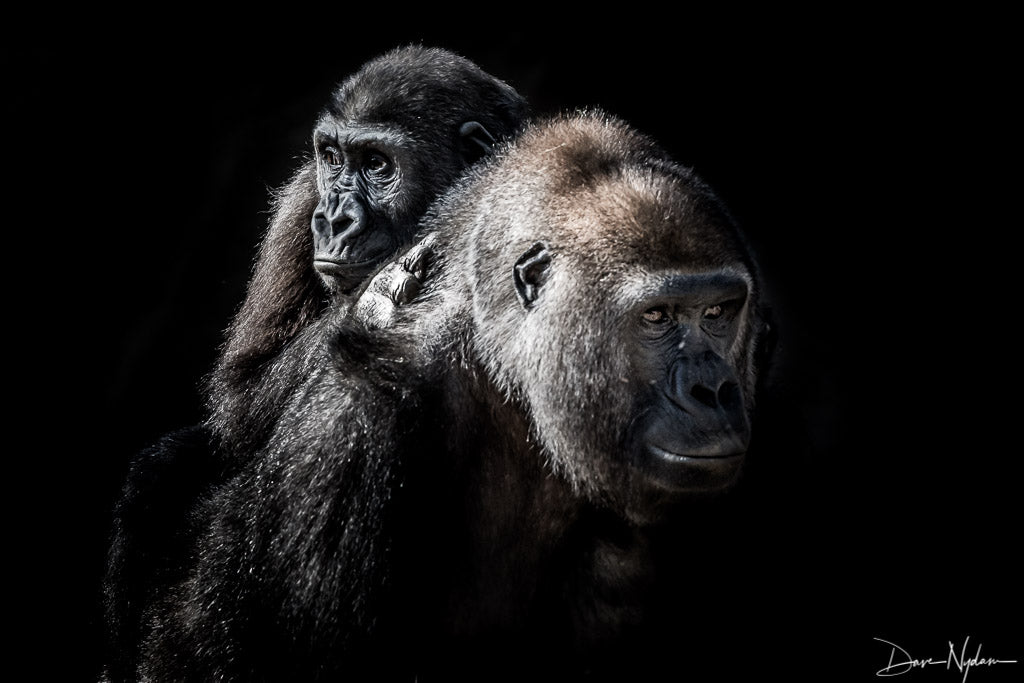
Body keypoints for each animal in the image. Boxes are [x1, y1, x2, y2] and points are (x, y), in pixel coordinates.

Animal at [102, 45, 528, 679]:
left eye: (377, 164)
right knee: (165, 469)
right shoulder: (301, 194)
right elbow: (239, 397)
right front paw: (375, 297)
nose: (333, 218)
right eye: (332, 158)